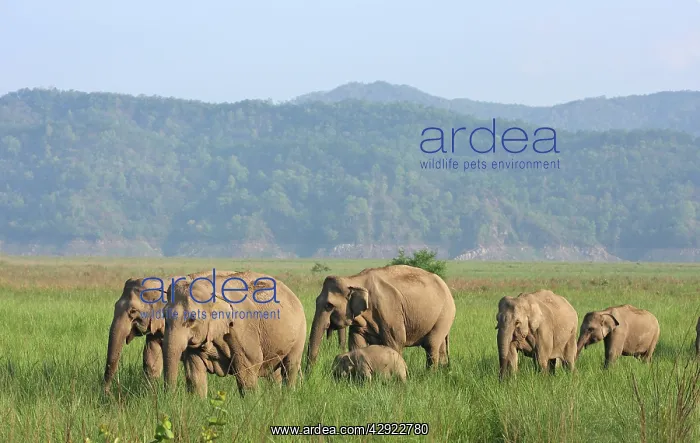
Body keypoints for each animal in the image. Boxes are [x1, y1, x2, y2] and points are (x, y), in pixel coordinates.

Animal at [163, 270, 307, 398]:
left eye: (192, 319)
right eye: (164, 316)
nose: (169, 398)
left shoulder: (243, 328)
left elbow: (247, 369)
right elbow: (195, 373)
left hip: (300, 330)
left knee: (290, 366)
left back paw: (287, 396)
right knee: (274, 372)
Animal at [306, 264, 456, 371]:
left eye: (329, 305)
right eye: (316, 301)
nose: (310, 376)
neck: (354, 279)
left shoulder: (389, 309)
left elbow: (395, 342)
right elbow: (356, 343)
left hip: (445, 314)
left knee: (431, 344)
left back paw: (430, 375)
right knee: (440, 347)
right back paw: (442, 372)